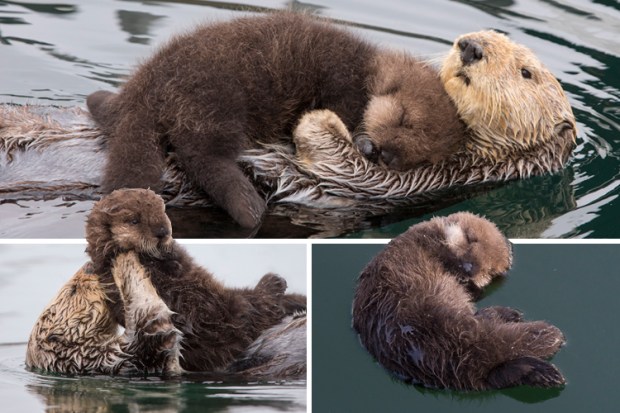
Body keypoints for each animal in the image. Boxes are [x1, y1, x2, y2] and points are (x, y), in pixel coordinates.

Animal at [27, 187, 308, 376]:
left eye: (162, 212)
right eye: (134, 220)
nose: (162, 232)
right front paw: (118, 253)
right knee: (258, 305)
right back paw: (273, 284)